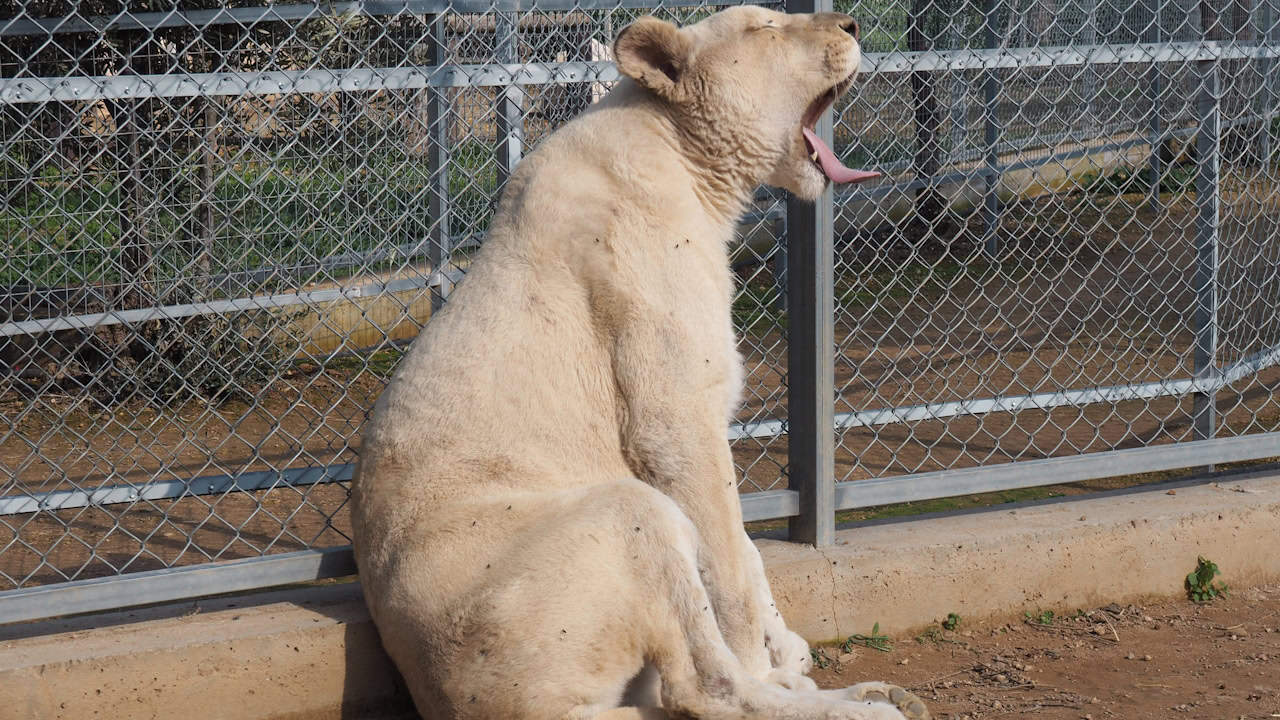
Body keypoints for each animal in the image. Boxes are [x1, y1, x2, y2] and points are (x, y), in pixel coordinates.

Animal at [350, 7, 931, 717]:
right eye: (764, 27)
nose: (850, 22)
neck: (696, 172)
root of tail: (449, 699)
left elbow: (745, 549)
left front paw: (785, 648)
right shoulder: (673, 418)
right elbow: (728, 566)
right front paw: (767, 661)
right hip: (621, 514)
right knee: (702, 691)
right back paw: (860, 703)